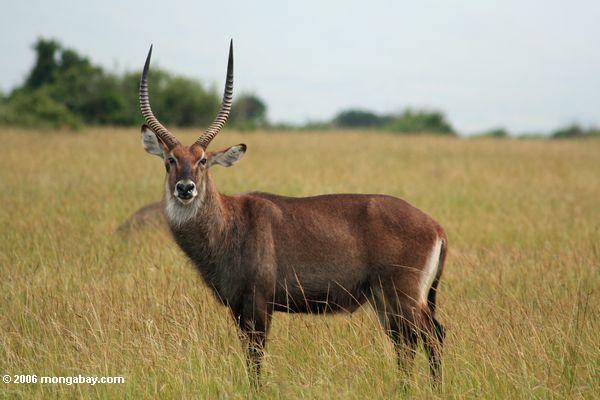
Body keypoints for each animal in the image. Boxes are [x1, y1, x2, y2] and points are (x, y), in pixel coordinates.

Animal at [135, 40, 446, 384]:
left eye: (203, 160)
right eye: (170, 160)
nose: (185, 188)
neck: (230, 223)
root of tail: (435, 226)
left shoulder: (258, 302)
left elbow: (255, 357)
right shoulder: (237, 307)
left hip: (403, 295)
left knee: (431, 337)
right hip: (387, 300)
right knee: (409, 343)